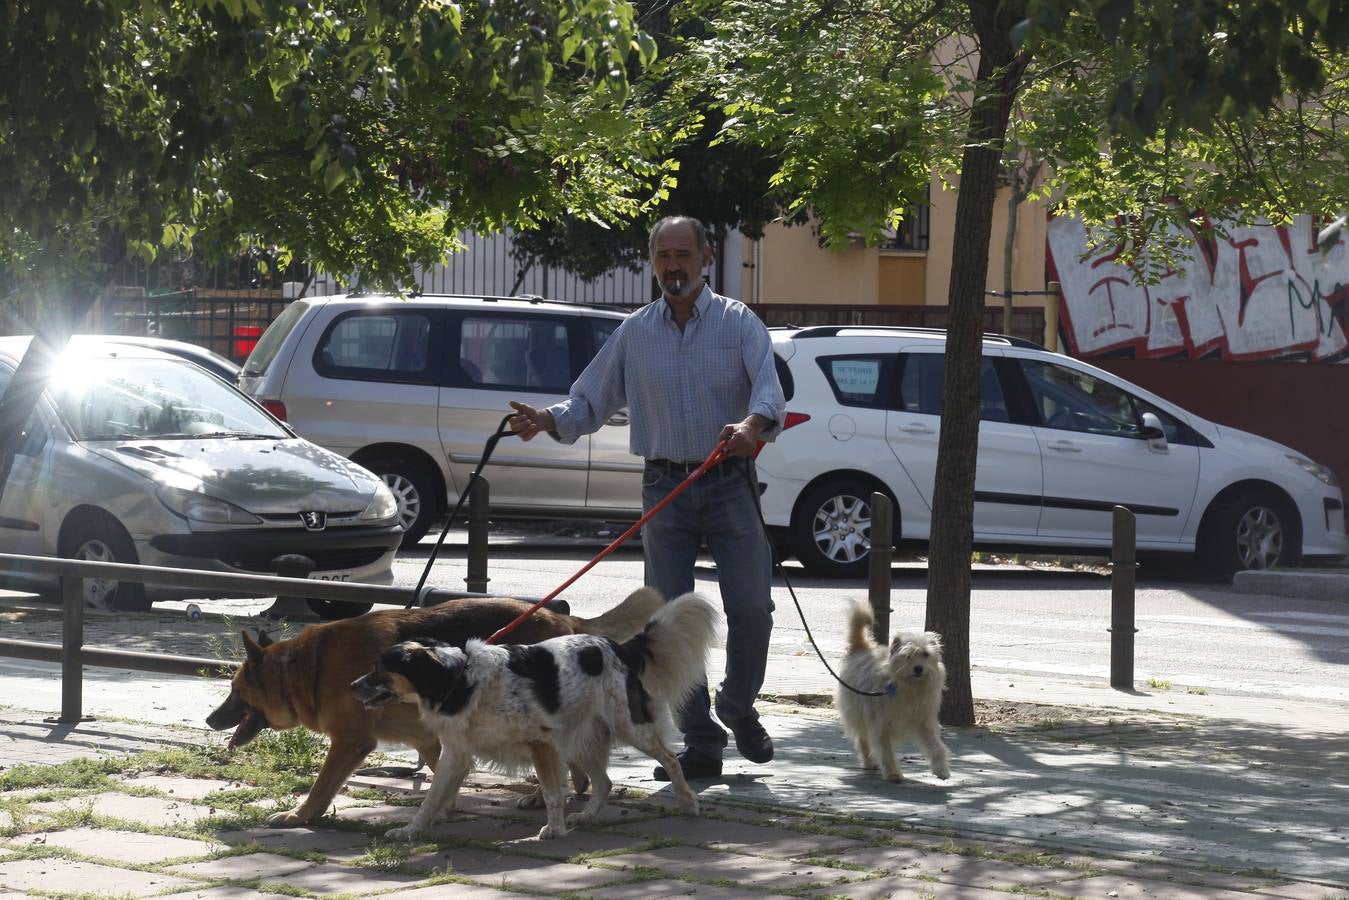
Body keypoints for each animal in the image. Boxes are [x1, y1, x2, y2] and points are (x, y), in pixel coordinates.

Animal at [202, 588, 661, 825]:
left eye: (235, 691)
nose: (209, 719)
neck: (308, 668)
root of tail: (567, 621)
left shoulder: (350, 743)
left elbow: (321, 785)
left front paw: (300, 816)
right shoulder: (433, 739)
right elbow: (443, 773)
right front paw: (442, 810)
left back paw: (552, 795)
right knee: (572, 763)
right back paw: (566, 793)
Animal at [353, 593, 723, 841]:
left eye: (380, 669)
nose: (353, 685)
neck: (460, 680)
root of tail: (619, 648)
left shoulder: (541, 743)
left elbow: (552, 792)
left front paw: (555, 829)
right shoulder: (456, 755)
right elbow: (431, 799)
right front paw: (410, 830)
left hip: (628, 728)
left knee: (669, 759)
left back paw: (688, 802)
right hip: (579, 739)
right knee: (603, 782)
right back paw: (588, 815)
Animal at [830, 601, 949, 782]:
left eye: (925, 654)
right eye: (907, 656)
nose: (918, 668)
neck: (908, 688)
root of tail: (860, 647)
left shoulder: (924, 721)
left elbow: (936, 745)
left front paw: (941, 769)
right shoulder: (880, 724)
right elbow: (886, 750)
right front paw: (892, 772)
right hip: (858, 713)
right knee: (863, 739)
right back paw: (868, 762)